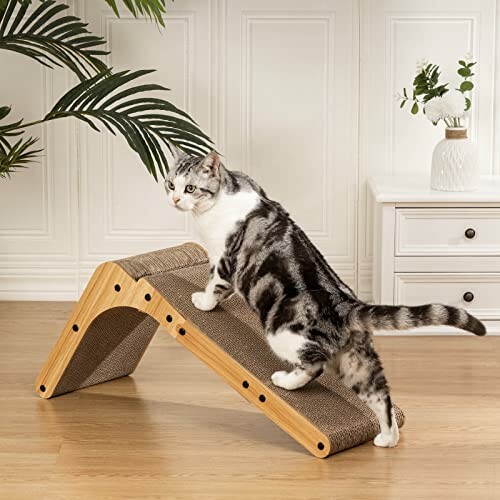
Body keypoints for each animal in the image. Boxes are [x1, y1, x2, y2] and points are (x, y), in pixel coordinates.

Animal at [166, 150, 486, 448]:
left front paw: (203, 302)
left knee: (314, 364)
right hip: (358, 362)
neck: (221, 197)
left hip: (283, 334)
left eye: (190, 188)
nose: (174, 199)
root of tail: (348, 306)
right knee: (380, 396)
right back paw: (387, 437)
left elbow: (216, 284)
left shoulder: (225, 258)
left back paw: (285, 381)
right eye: (170, 184)